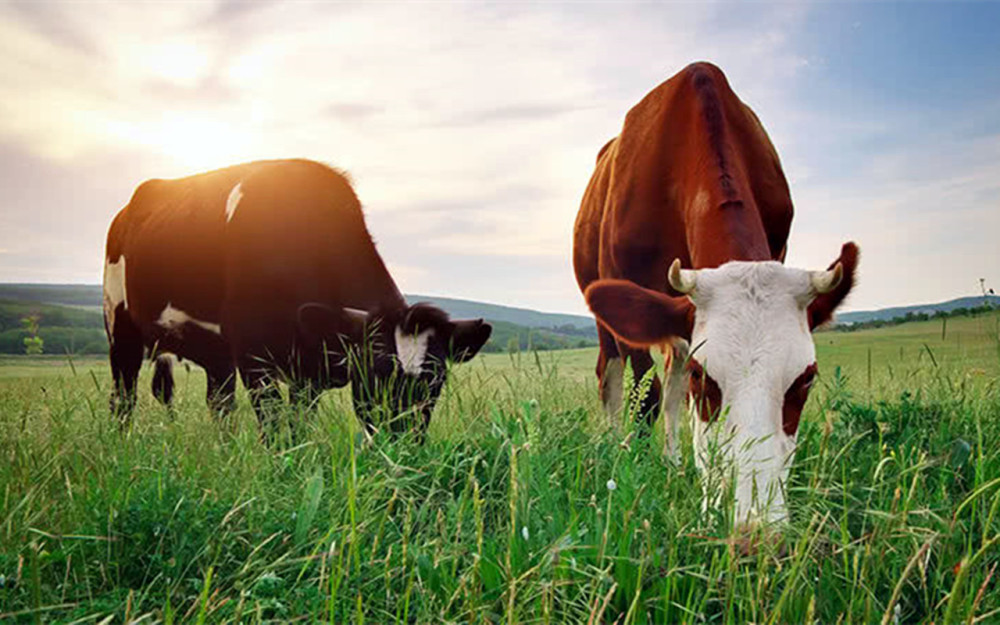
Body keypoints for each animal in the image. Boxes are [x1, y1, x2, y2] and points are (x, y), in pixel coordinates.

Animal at [103, 157, 490, 438]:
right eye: (375, 375)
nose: (403, 445)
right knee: (124, 395)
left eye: (435, 382)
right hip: (119, 325)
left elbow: (299, 426)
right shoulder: (253, 354)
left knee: (219, 403)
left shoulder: (308, 371)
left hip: (216, 354)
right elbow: (275, 429)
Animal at [576, 62, 856, 520]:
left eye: (806, 380)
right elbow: (646, 395)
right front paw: (633, 469)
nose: (752, 521)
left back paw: (673, 461)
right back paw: (616, 445)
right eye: (703, 377)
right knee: (612, 375)